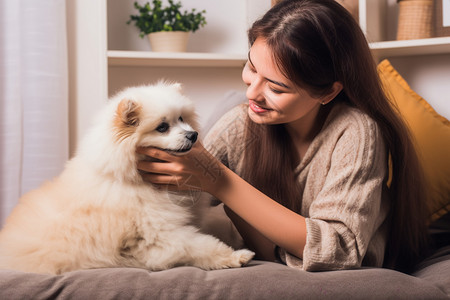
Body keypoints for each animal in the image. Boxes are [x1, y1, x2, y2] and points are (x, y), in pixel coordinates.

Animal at [0, 81, 253, 274]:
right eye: (162, 127)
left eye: (182, 118)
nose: (193, 134)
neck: (136, 179)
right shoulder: (158, 234)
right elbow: (199, 245)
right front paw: (236, 256)